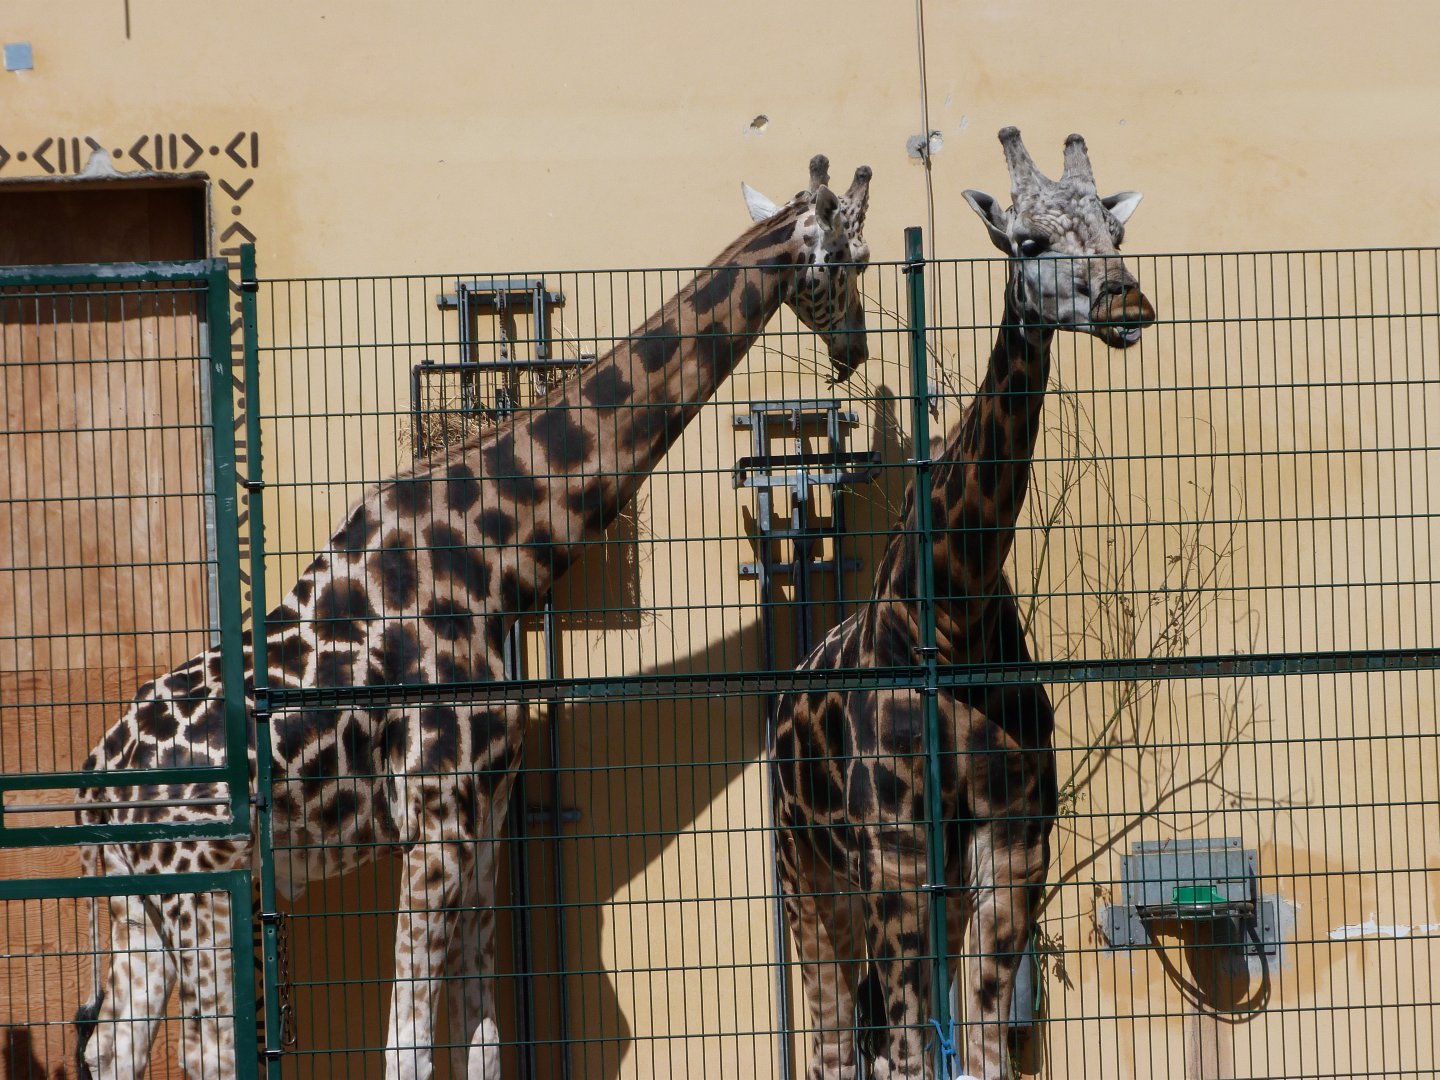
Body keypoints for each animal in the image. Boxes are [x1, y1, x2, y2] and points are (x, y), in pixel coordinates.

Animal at [72, 154, 873, 1080]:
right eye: (852, 260)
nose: (855, 350)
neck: (497, 562)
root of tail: (96, 784)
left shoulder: (486, 827)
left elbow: (485, 1036)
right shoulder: (437, 822)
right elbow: (408, 1048)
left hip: (138, 905)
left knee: (113, 1051)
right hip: (205, 891)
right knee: (207, 1053)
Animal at [771, 128, 1156, 1080]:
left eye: (1116, 236)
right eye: (1026, 241)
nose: (1128, 303)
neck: (956, 610)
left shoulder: (1014, 847)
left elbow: (978, 1054)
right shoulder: (898, 857)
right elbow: (914, 1055)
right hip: (810, 880)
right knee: (836, 1047)